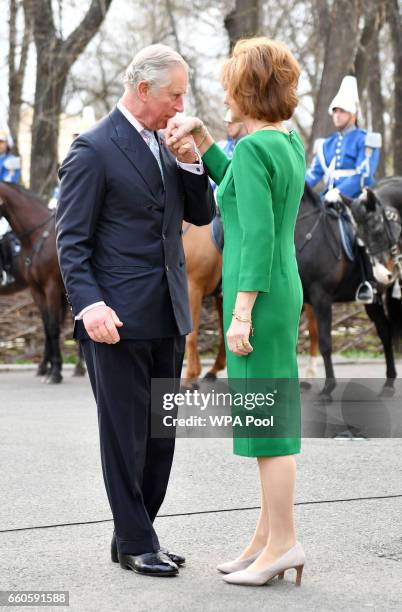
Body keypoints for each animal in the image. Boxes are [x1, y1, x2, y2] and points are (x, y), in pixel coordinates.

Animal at [0, 182, 85, 382]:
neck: (36, 237)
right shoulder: (36, 289)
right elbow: (47, 326)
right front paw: (51, 367)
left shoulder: (51, 286)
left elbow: (53, 327)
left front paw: (56, 372)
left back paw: (78, 366)